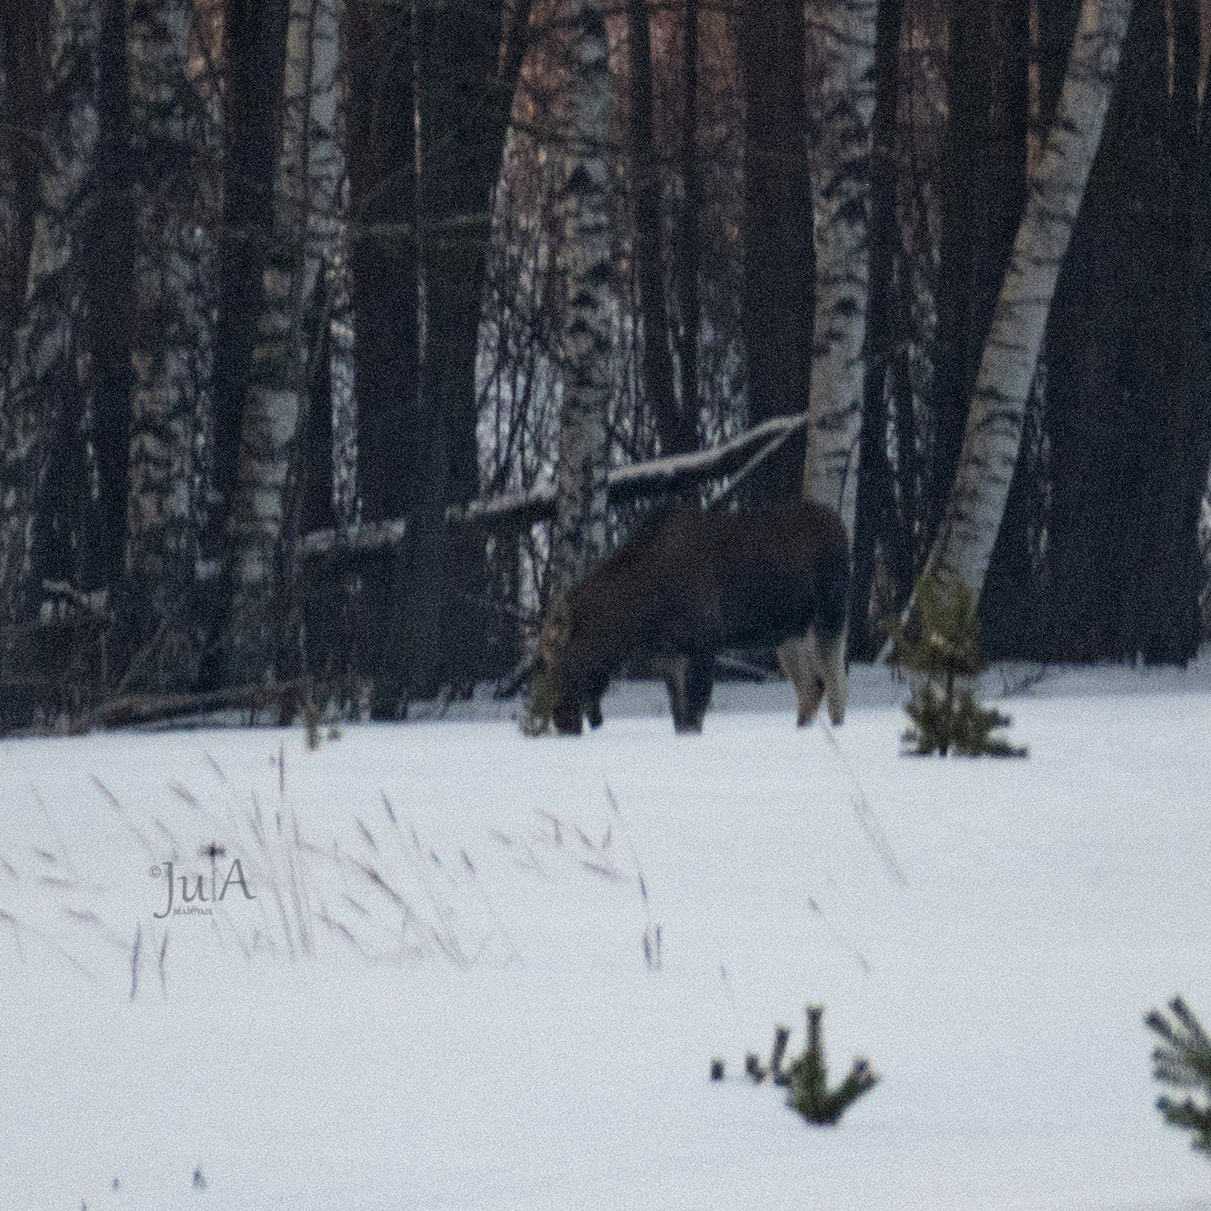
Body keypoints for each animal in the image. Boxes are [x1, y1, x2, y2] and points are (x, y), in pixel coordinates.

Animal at [540, 496, 852, 731]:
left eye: (562, 658)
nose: (560, 717)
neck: (640, 617)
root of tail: (840, 525)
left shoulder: (702, 644)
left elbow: (693, 716)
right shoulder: (670, 654)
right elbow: (680, 718)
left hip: (830, 613)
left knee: (835, 682)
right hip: (788, 632)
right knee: (812, 686)